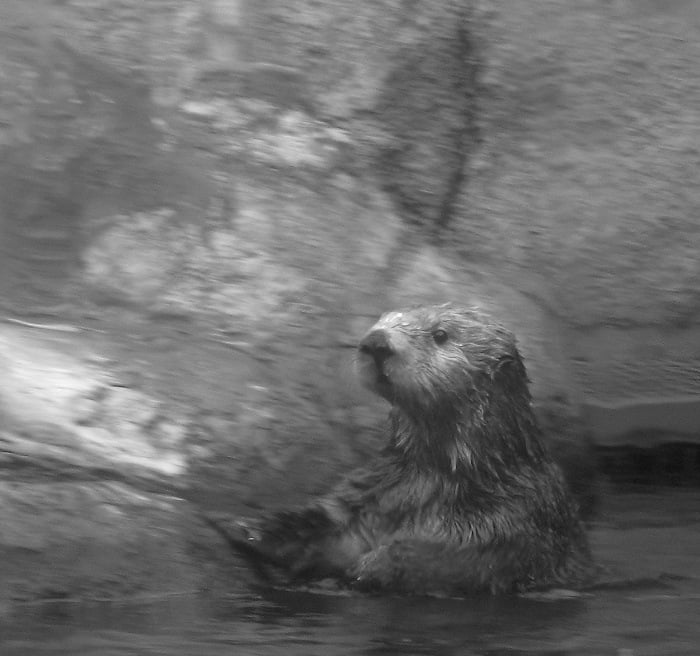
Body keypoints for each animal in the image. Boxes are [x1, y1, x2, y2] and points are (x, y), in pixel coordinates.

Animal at [208, 304, 593, 595]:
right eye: (382, 320)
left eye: (441, 334)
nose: (376, 342)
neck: (434, 478)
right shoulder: (374, 496)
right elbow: (327, 529)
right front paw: (240, 525)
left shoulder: (515, 520)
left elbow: (469, 557)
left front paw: (377, 563)